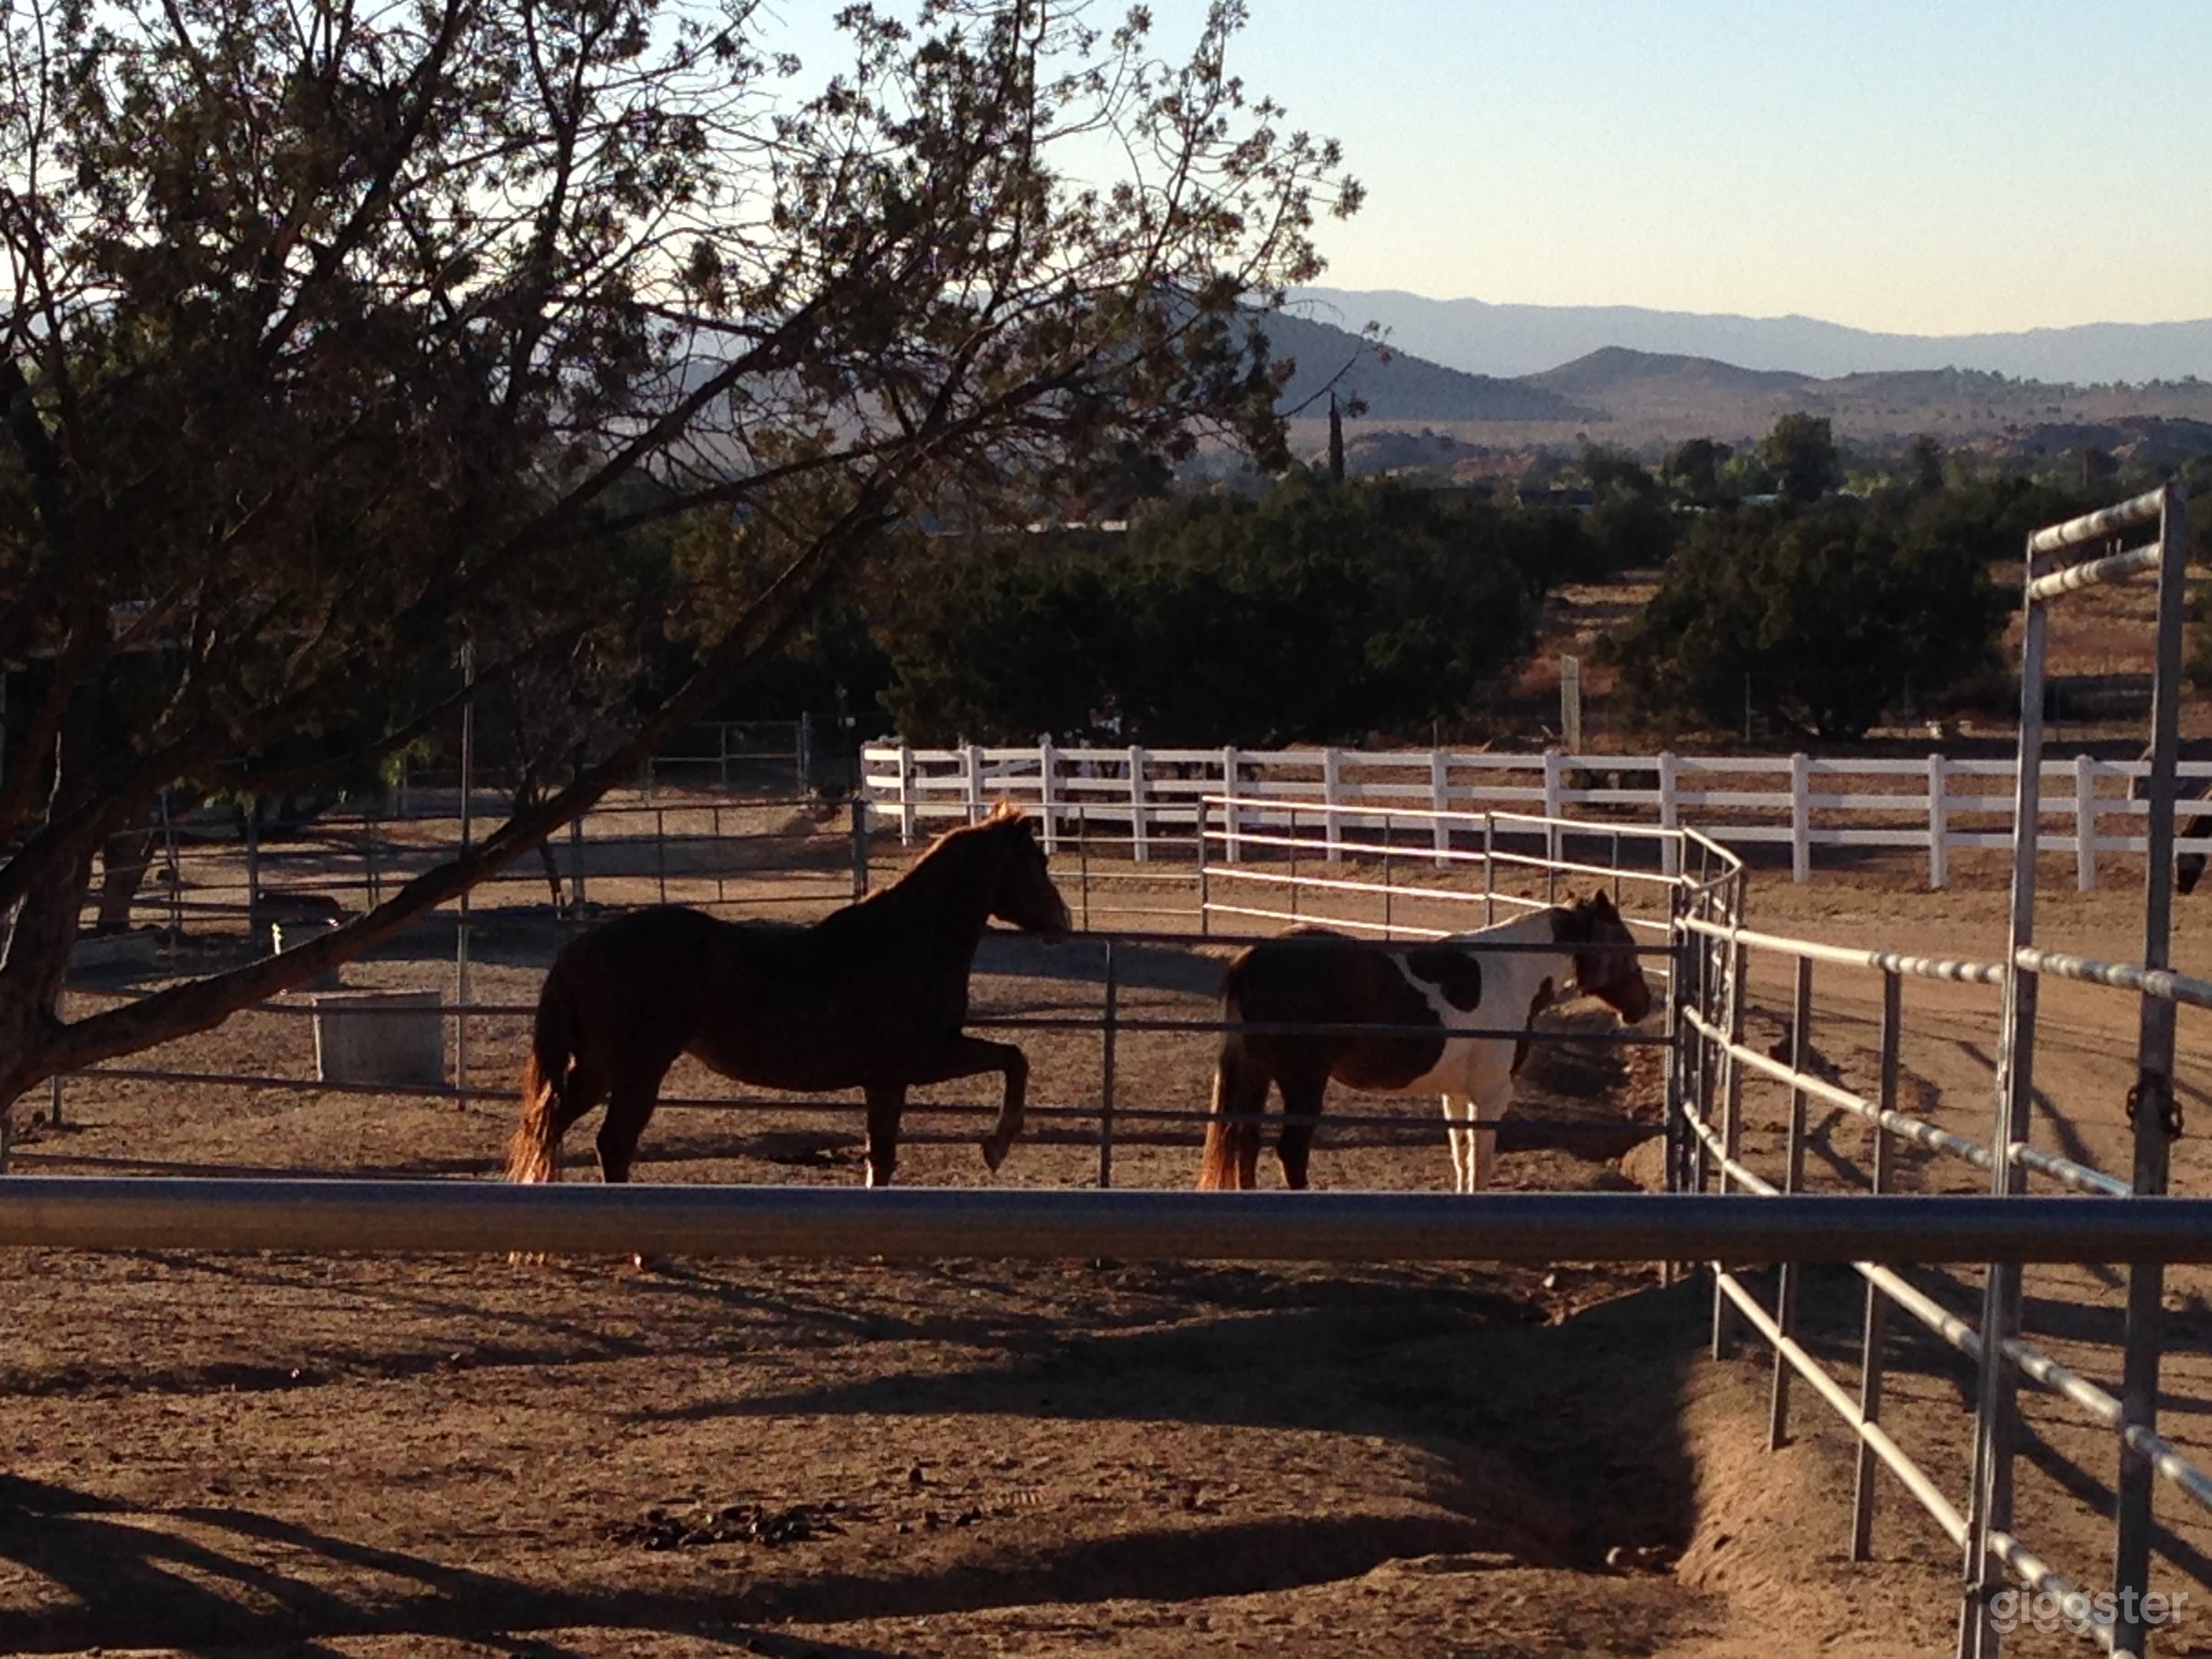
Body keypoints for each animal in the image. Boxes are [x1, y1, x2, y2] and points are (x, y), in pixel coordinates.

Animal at [505, 801, 1072, 1191]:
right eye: (1037, 863)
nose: (1062, 923)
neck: (910, 938)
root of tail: (580, 947)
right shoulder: (923, 1058)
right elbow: (1014, 1058)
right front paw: (996, 1145)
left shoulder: (887, 1080)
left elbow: (882, 1157)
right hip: (637, 1071)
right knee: (613, 1144)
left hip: (598, 1069)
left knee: (548, 1126)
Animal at [1195, 891, 1653, 1194]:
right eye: (1626, 945)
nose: (1642, 1005)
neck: (1511, 971)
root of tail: (1254, 957)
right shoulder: (1491, 1093)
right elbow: (1481, 1160)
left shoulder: (1456, 1094)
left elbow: (1461, 1154)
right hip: (1303, 1080)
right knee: (1290, 1150)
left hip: (1258, 1073)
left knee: (1246, 1142)